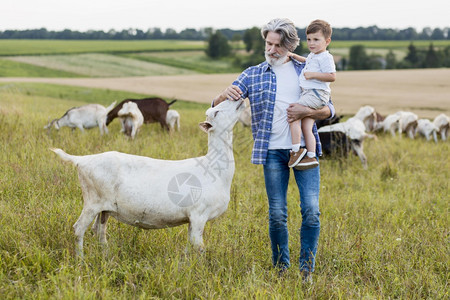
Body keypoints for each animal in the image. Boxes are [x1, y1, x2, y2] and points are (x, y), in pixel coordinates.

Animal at [50, 99, 244, 256]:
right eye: (216, 112)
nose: (239, 99)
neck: (213, 168)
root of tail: (82, 160)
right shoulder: (198, 215)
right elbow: (199, 247)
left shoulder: (192, 219)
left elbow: (190, 246)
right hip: (92, 201)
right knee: (78, 229)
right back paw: (81, 260)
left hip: (104, 208)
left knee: (98, 230)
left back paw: (106, 255)